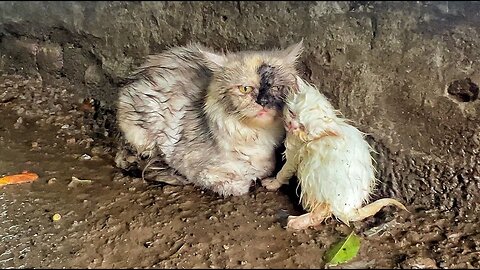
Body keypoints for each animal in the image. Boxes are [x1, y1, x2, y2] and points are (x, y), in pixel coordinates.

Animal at [114, 41, 302, 195]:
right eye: (245, 89)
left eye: (277, 88)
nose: (263, 102)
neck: (255, 136)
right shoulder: (194, 166)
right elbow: (237, 184)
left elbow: (265, 169)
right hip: (142, 129)